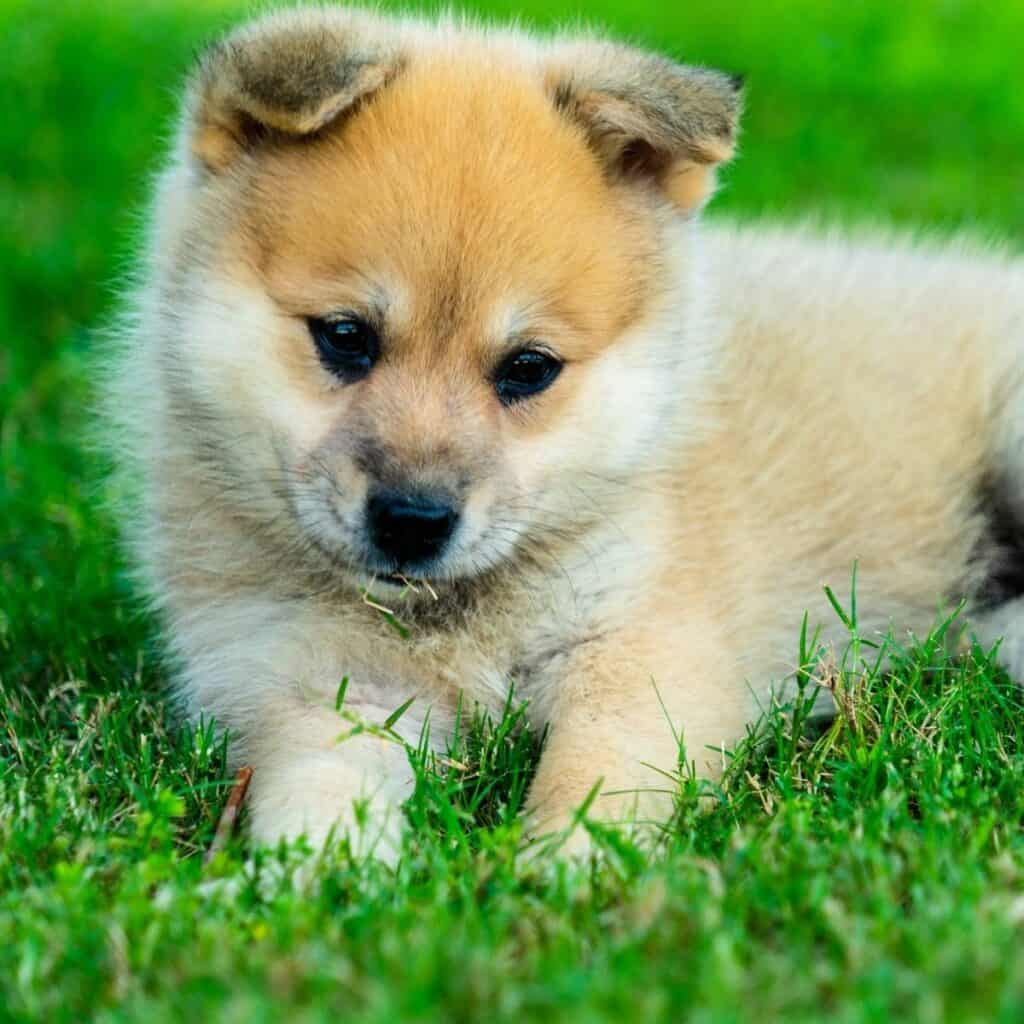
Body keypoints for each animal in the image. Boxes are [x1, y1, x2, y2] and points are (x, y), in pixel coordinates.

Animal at [110, 8, 1024, 860]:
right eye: (343, 336)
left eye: (528, 367)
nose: (412, 522)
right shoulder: (322, 688)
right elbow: (316, 791)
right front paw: (318, 880)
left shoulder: (641, 649)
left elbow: (594, 775)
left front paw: (564, 867)